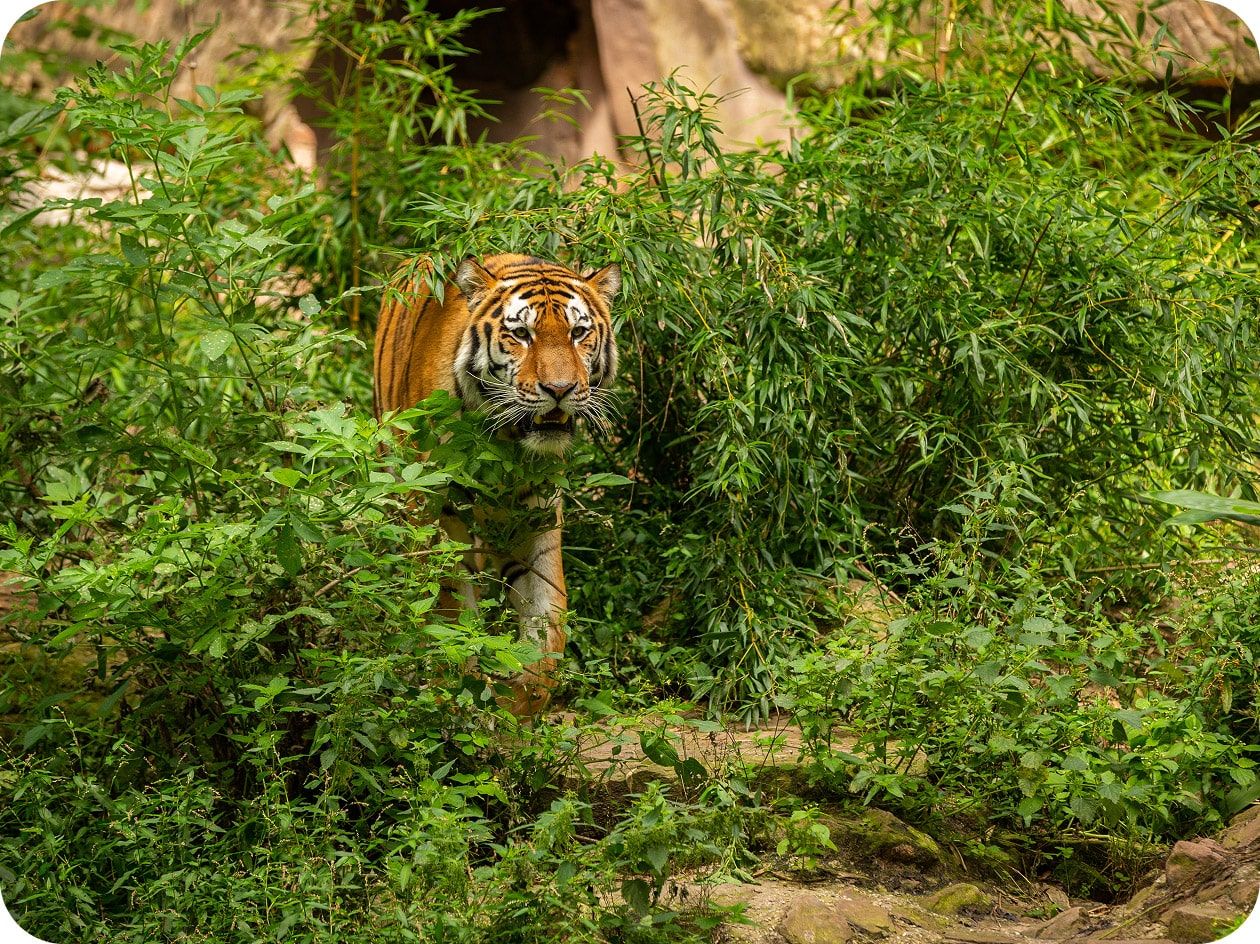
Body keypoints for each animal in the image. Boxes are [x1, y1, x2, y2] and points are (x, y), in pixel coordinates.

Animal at [373, 253, 621, 716]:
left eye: (578, 333)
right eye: (521, 334)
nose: (560, 389)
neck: (507, 442)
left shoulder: (536, 518)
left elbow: (547, 618)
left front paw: (519, 704)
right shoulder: (440, 510)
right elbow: (449, 609)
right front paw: (459, 695)